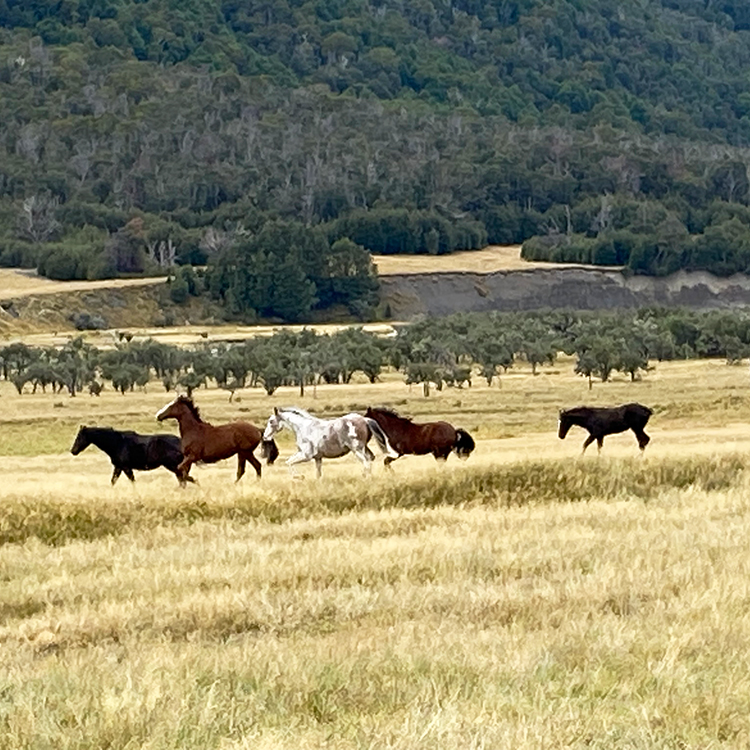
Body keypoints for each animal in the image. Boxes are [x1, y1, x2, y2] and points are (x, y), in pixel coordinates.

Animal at [262, 406, 398, 477]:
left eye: (271, 421)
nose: (265, 437)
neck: (303, 428)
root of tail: (364, 420)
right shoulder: (317, 458)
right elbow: (318, 473)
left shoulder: (306, 455)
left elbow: (288, 462)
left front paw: (299, 477)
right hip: (364, 448)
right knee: (370, 459)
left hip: (357, 449)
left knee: (366, 463)